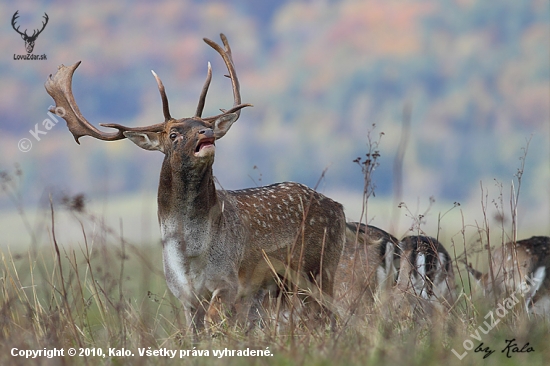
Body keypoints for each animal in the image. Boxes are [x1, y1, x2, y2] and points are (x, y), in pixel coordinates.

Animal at [48, 33, 350, 334]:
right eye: (173, 134)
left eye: (204, 123)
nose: (207, 133)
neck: (190, 257)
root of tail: (339, 207)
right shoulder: (185, 296)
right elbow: (196, 335)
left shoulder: (228, 281)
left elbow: (217, 326)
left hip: (319, 268)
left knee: (328, 316)